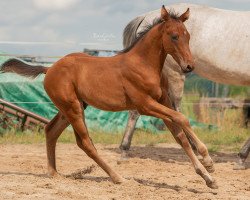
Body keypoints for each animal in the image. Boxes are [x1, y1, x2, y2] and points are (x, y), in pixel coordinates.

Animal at [0, 5, 218, 188]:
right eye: (173, 36)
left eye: (188, 36)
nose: (189, 66)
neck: (144, 65)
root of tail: (49, 68)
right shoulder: (145, 105)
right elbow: (182, 119)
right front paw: (208, 160)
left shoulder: (163, 101)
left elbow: (179, 135)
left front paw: (208, 177)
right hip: (73, 108)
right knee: (85, 143)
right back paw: (117, 177)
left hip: (71, 107)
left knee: (51, 130)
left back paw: (54, 173)